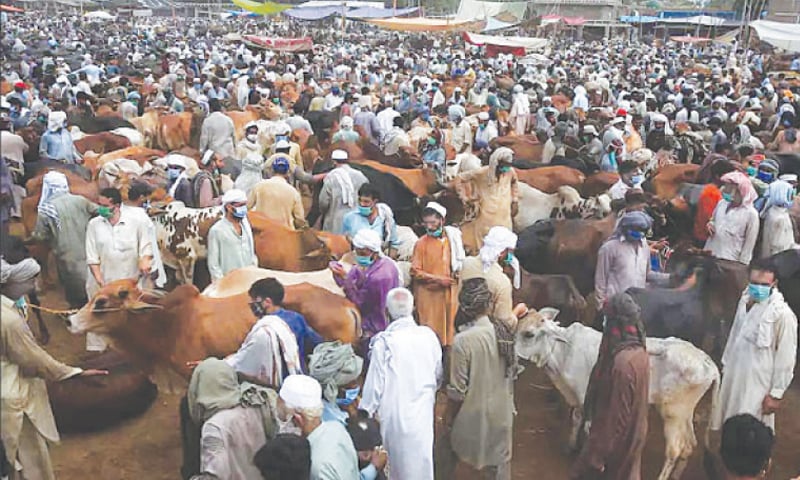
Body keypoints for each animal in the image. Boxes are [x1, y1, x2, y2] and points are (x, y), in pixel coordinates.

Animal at [516, 310, 720, 480]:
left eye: (529, 334)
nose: (512, 351)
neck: (563, 351)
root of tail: (708, 362)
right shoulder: (578, 400)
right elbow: (576, 419)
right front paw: (571, 446)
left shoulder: (587, 397)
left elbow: (588, 427)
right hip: (685, 414)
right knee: (690, 445)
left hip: (672, 413)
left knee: (675, 450)